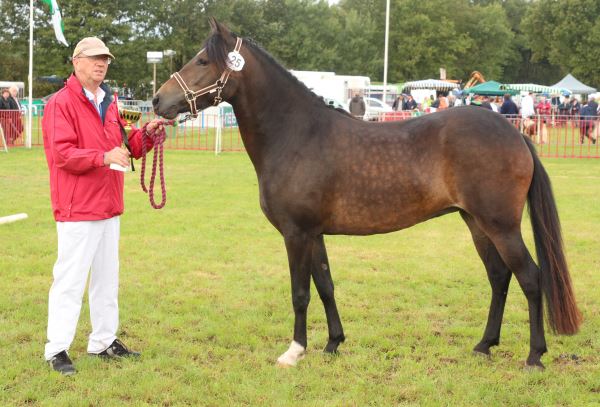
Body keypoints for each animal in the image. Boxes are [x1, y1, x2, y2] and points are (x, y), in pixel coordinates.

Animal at [154, 19, 580, 370]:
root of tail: (514, 134)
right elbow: (325, 286)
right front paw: (333, 344)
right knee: (499, 277)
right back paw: (484, 345)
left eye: (203, 61)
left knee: (530, 278)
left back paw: (534, 356)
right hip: (476, 222)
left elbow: (300, 293)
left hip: (500, 225)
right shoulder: (314, 234)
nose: (158, 100)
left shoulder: (296, 233)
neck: (296, 134)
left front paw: (294, 351)